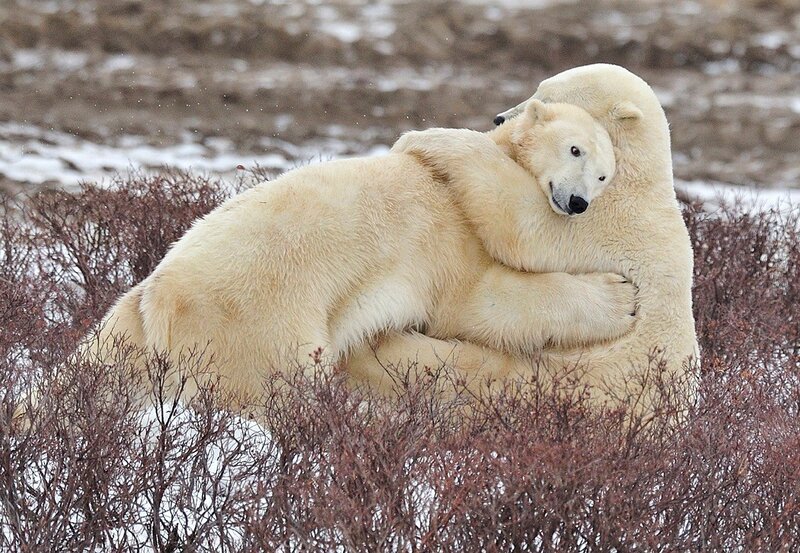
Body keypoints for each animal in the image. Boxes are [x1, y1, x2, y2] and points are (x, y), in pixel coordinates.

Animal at [84, 98, 635, 407]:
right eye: (575, 150)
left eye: (603, 175)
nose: (578, 202)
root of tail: (160, 297)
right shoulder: (451, 230)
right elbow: (481, 301)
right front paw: (622, 297)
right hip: (255, 323)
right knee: (274, 389)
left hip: (129, 327)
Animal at [346, 64, 700, 414]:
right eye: (539, 87)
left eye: (549, 95)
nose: (499, 118)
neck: (638, 174)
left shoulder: (605, 219)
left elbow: (522, 223)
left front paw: (424, 138)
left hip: (571, 376)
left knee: (468, 367)